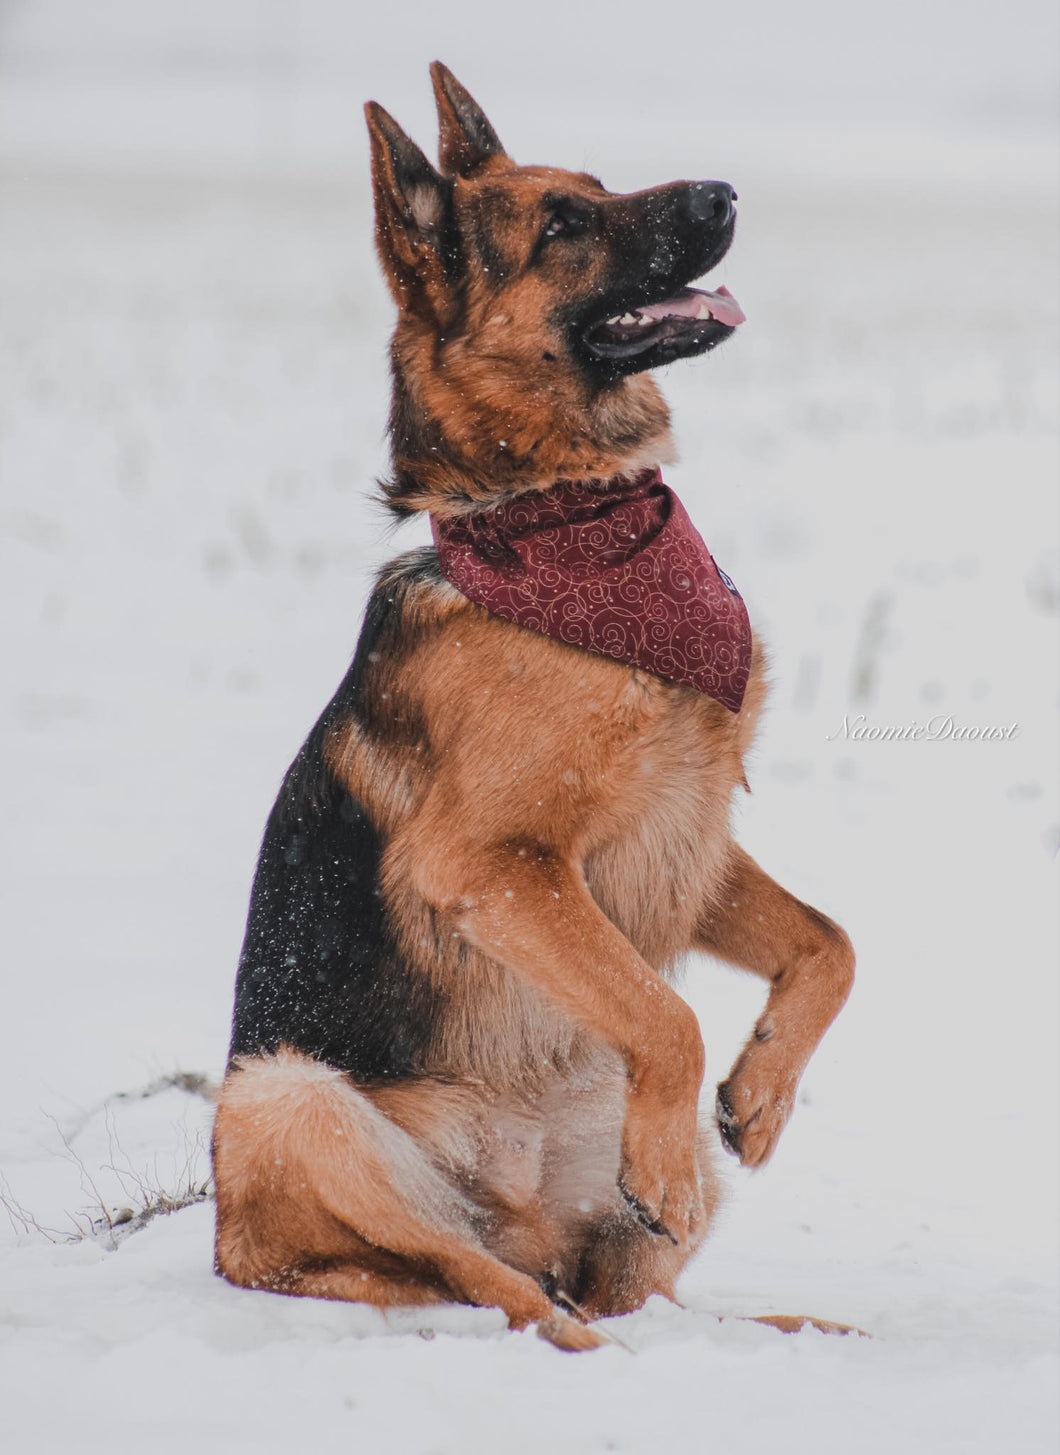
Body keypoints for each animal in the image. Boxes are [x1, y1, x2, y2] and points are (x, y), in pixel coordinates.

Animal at [212, 62, 849, 1344]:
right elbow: (663, 1016)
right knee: (476, 1284)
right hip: (286, 1098)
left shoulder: (686, 834)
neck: (554, 511)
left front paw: (760, 1095)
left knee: (596, 1288)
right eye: (560, 227)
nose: (722, 191)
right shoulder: (491, 862)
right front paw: (674, 1144)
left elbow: (829, 941)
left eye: (596, 189)